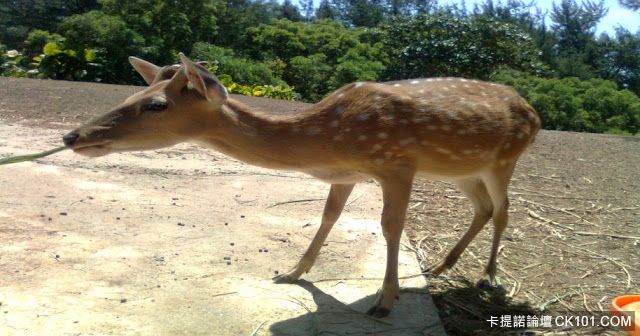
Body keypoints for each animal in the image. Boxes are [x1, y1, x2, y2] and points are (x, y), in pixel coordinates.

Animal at [63, 53, 540, 318]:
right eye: (129, 96)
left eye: (156, 105)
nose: (72, 136)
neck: (329, 141)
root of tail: (533, 112)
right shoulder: (346, 174)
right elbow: (327, 216)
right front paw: (291, 272)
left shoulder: (397, 163)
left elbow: (390, 227)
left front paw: (384, 302)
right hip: (462, 170)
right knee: (483, 208)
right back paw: (440, 267)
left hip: (505, 159)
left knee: (504, 209)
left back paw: (488, 277)